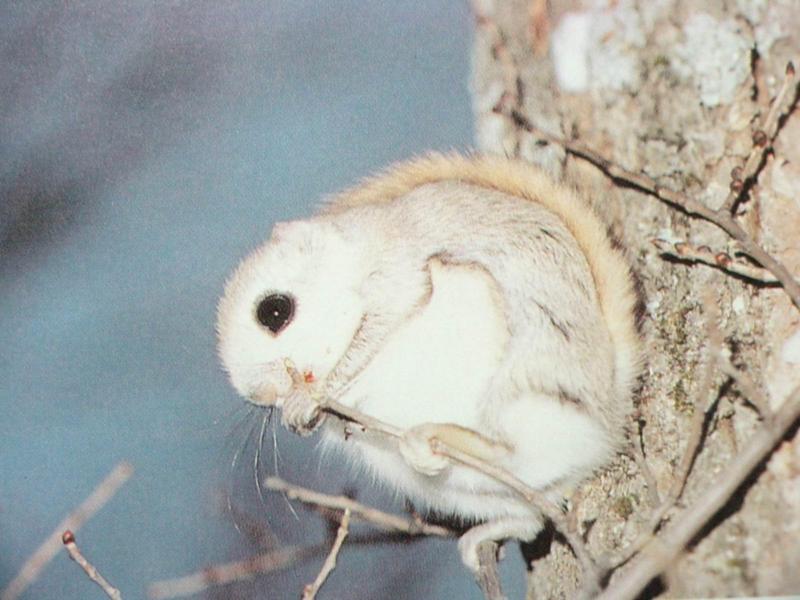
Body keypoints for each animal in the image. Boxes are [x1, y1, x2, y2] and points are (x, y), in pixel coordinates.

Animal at [217, 152, 644, 568]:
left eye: (275, 311)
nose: (261, 395)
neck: (353, 257)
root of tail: (609, 408)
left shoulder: (397, 279)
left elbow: (364, 349)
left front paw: (311, 398)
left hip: (523, 388)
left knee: (509, 448)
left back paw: (434, 437)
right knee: (529, 518)